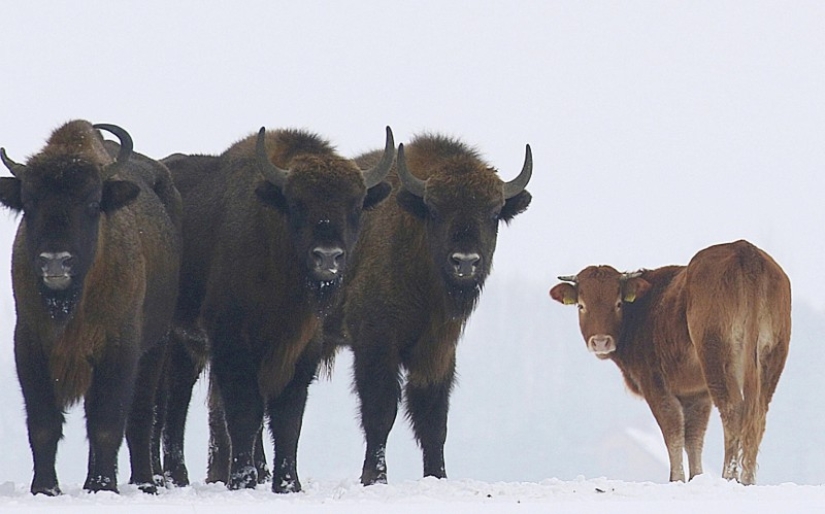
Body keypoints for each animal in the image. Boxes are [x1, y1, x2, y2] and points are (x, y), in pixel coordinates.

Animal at [0, 120, 182, 495]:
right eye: (29, 202)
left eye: (92, 202)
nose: (56, 261)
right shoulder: (30, 343)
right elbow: (43, 423)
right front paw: (45, 488)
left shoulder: (119, 348)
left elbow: (107, 423)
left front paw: (104, 486)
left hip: (156, 347)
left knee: (141, 418)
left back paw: (144, 482)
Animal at [160, 126, 395, 493]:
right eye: (297, 203)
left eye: (355, 205)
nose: (327, 257)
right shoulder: (232, 342)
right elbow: (245, 411)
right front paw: (243, 480)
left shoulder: (302, 348)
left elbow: (288, 416)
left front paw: (288, 484)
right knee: (170, 403)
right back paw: (171, 477)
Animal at [324, 133, 533, 485]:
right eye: (435, 210)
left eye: (493, 212)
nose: (465, 262)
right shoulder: (375, 342)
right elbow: (381, 411)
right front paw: (374, 478)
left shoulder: (438, 350)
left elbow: (433, 419)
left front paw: (437, 476)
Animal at [549, 240, 791, 485]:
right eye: (581, 305)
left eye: (618, 304)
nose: (600, 341)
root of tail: (744, 250)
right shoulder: (697, 394)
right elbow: (693, 437)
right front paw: (696, 476)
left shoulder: (655, 384)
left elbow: (672, 430)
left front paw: (676, 478)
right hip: (772, 357)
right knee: (758, 415)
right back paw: (748, 479)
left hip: (717, 357)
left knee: (732, 410)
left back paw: (729, 477)